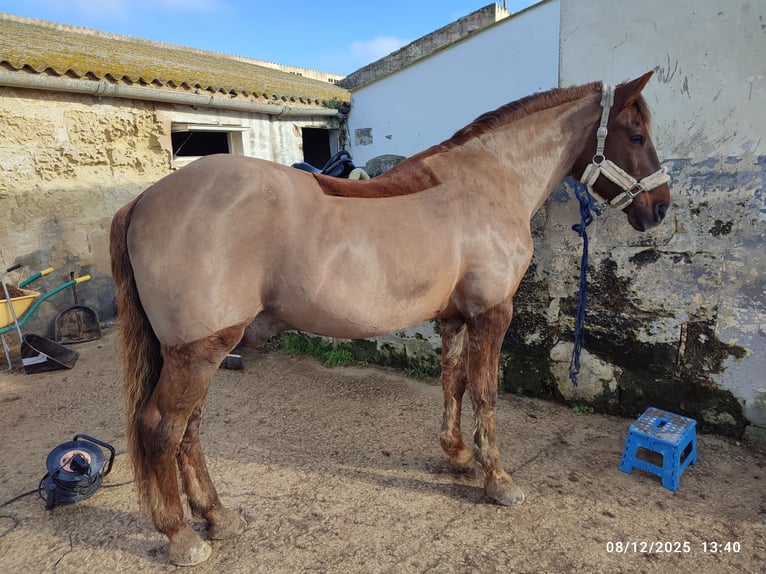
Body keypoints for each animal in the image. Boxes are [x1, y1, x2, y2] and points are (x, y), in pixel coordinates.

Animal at [110, 71, 670, 566]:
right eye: (636, 135)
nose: (660, 208)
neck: (490, 180)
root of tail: (143, 199)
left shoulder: (454, 317)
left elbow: (454, 381)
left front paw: (457, 456)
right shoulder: (492, 314)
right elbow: (486, 391)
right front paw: (497, 480)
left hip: (203, 352)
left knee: (190, 430)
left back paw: (217, 516)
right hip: (199, 351)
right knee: (162, 428)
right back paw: (182, 535)